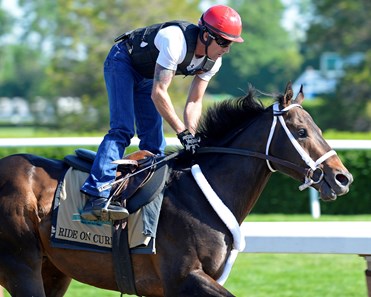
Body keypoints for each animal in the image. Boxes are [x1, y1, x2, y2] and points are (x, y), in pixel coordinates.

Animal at [0, 82, 354, 294]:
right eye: (301, 131)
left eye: (318, 128)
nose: (342, 178)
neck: (199, 196)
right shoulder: (182, 278)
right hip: (22, 266)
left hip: (54, 270)